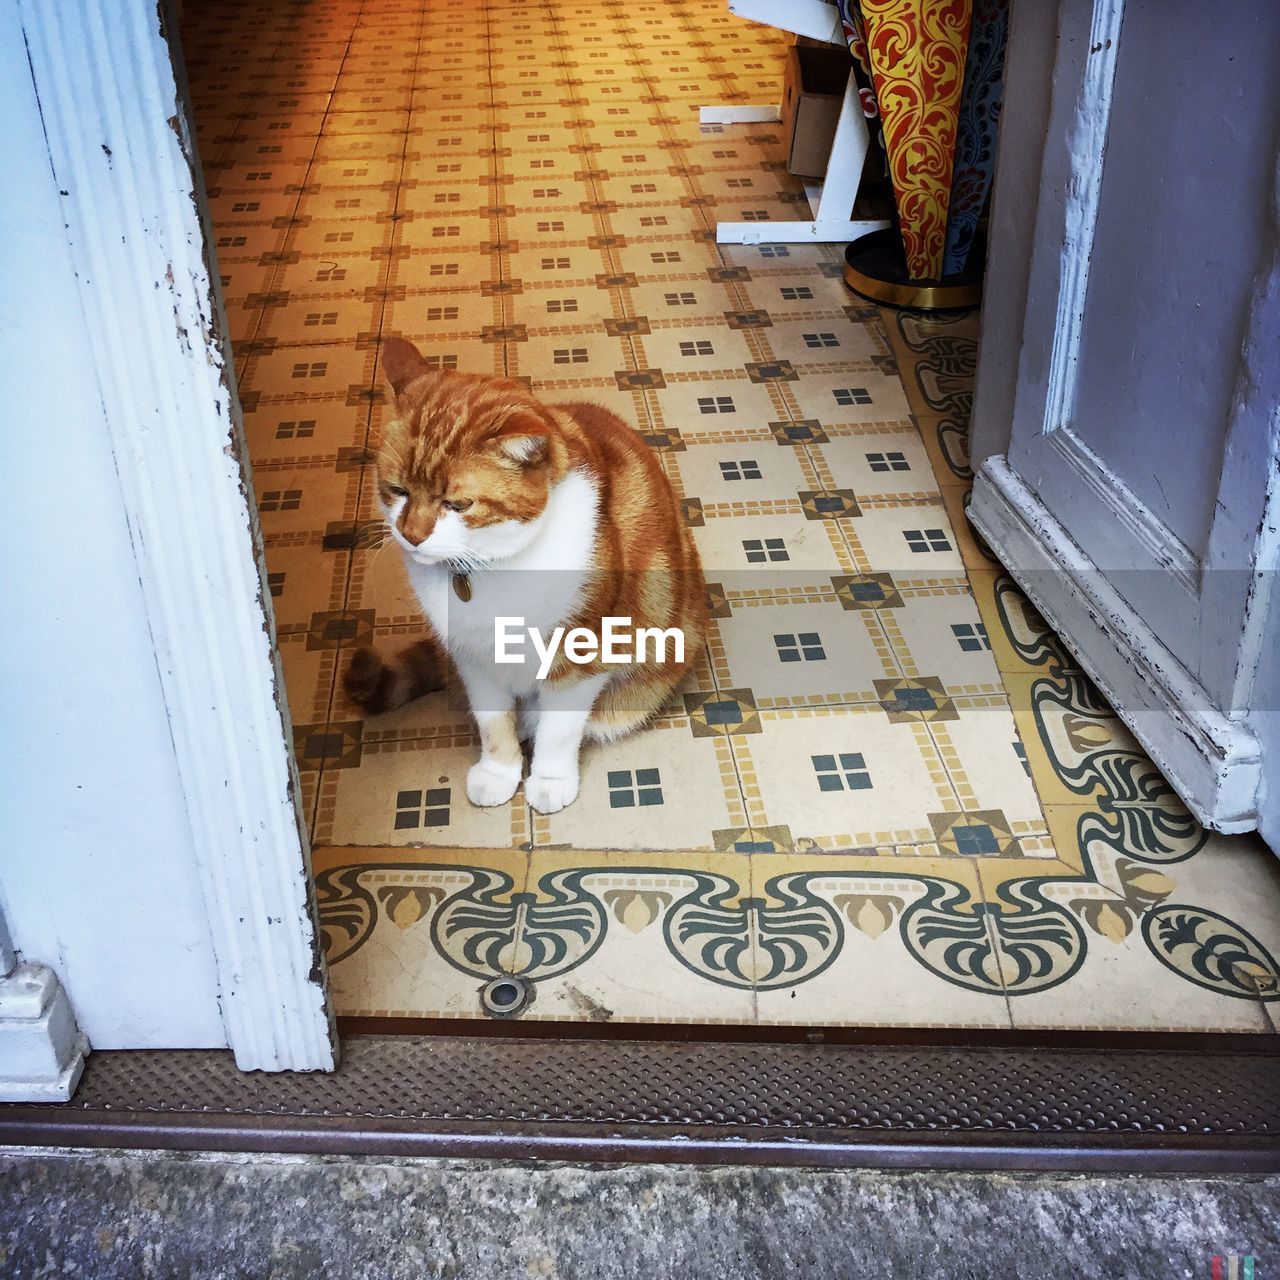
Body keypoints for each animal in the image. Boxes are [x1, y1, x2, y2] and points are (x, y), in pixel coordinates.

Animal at [345, 335, 706, 814]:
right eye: (397, 490)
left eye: (458, 505)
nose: (411, 535)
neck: (489, 570)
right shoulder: (472, 658)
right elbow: (492, 722)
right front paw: (500, 773)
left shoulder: (580, 657)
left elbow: (559, 731)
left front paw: (550, 779)